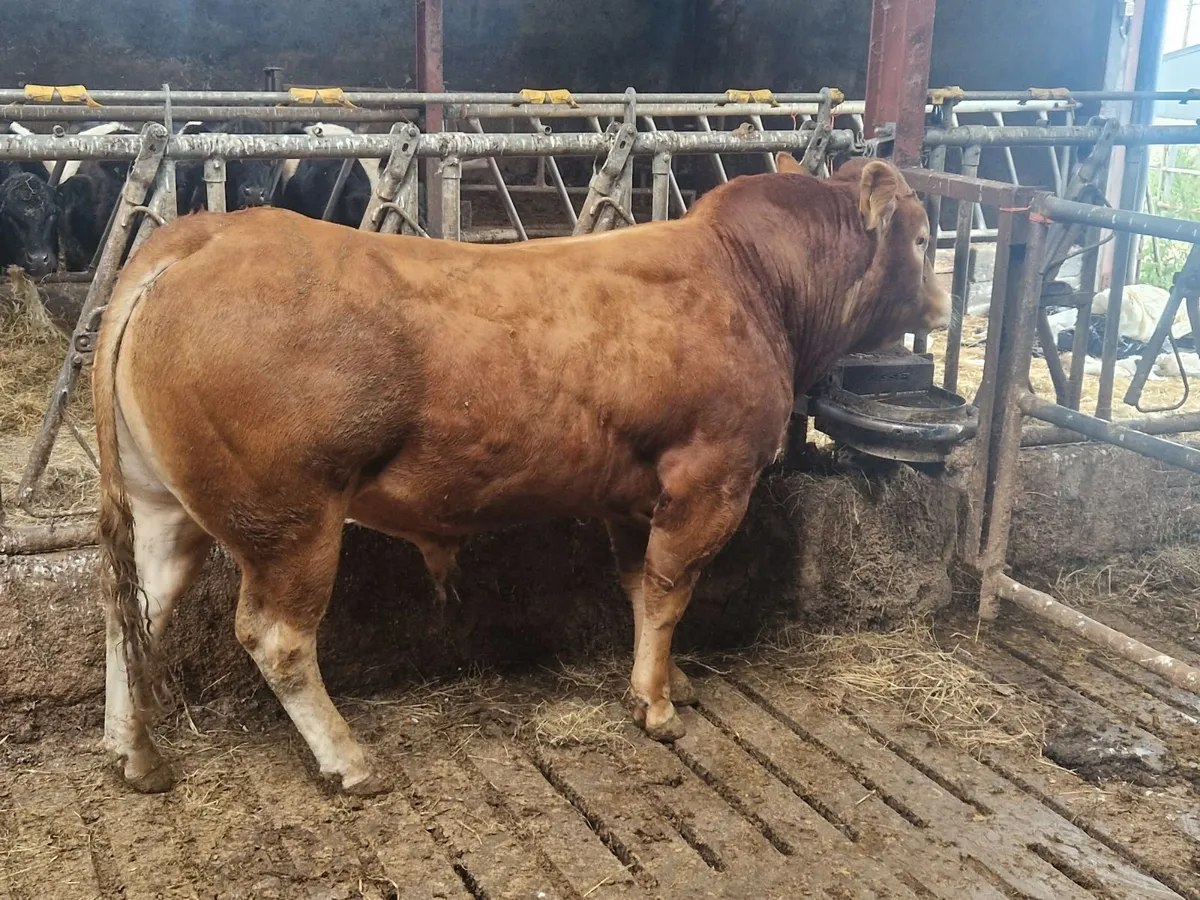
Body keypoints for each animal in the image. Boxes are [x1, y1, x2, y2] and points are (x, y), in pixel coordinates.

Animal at [93, 154, 949, 795]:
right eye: (922, 233)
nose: (943, 304)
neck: (751, 279)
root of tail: (200, 238)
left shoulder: (632, 496)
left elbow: (640, 590)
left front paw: (667, 681)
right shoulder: (710, 479)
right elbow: (671, 592)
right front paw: (657, 707)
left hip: (165, 507)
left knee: (135, 612)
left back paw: (136, 755)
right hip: (291, 521)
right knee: (276, 638)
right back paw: (349, 759)